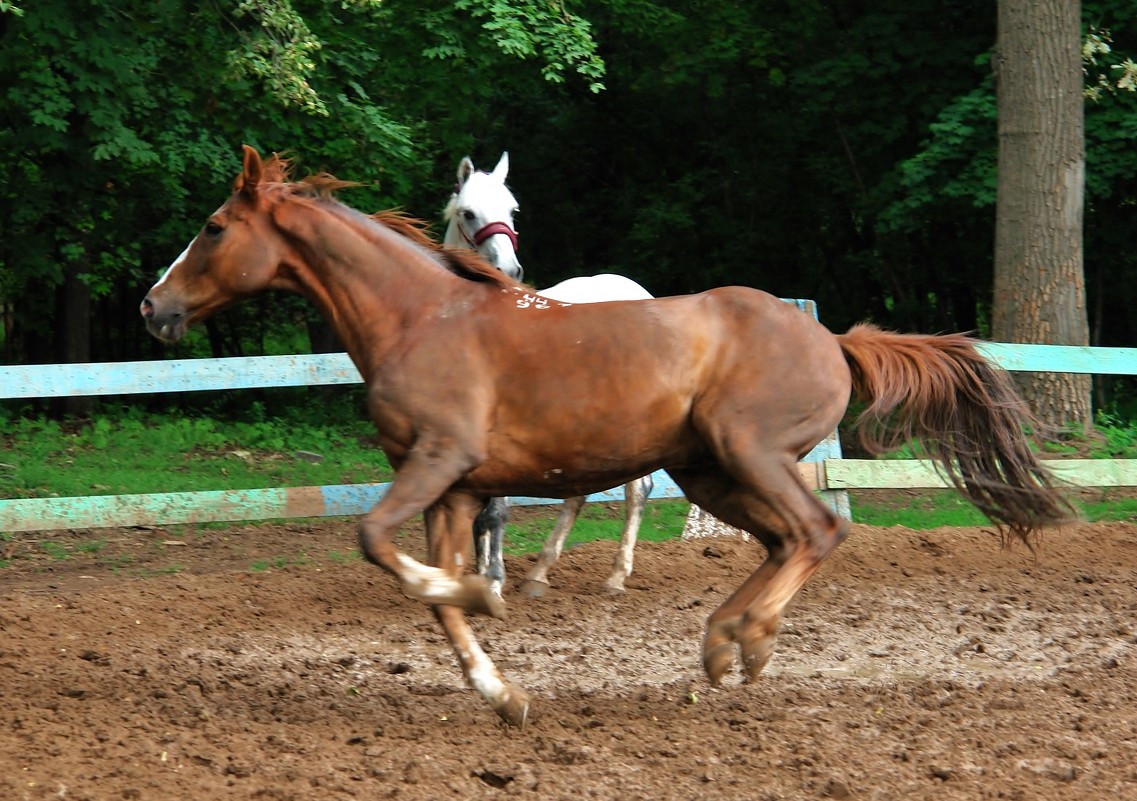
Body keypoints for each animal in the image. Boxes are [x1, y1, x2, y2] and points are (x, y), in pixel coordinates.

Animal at [445, 153, 659, 596]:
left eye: (512, 210)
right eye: (468, 213)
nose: (509, 267)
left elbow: (494, 513)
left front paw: (493, 582)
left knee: (637, 490)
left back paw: (616, 576)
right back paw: (540, 572)